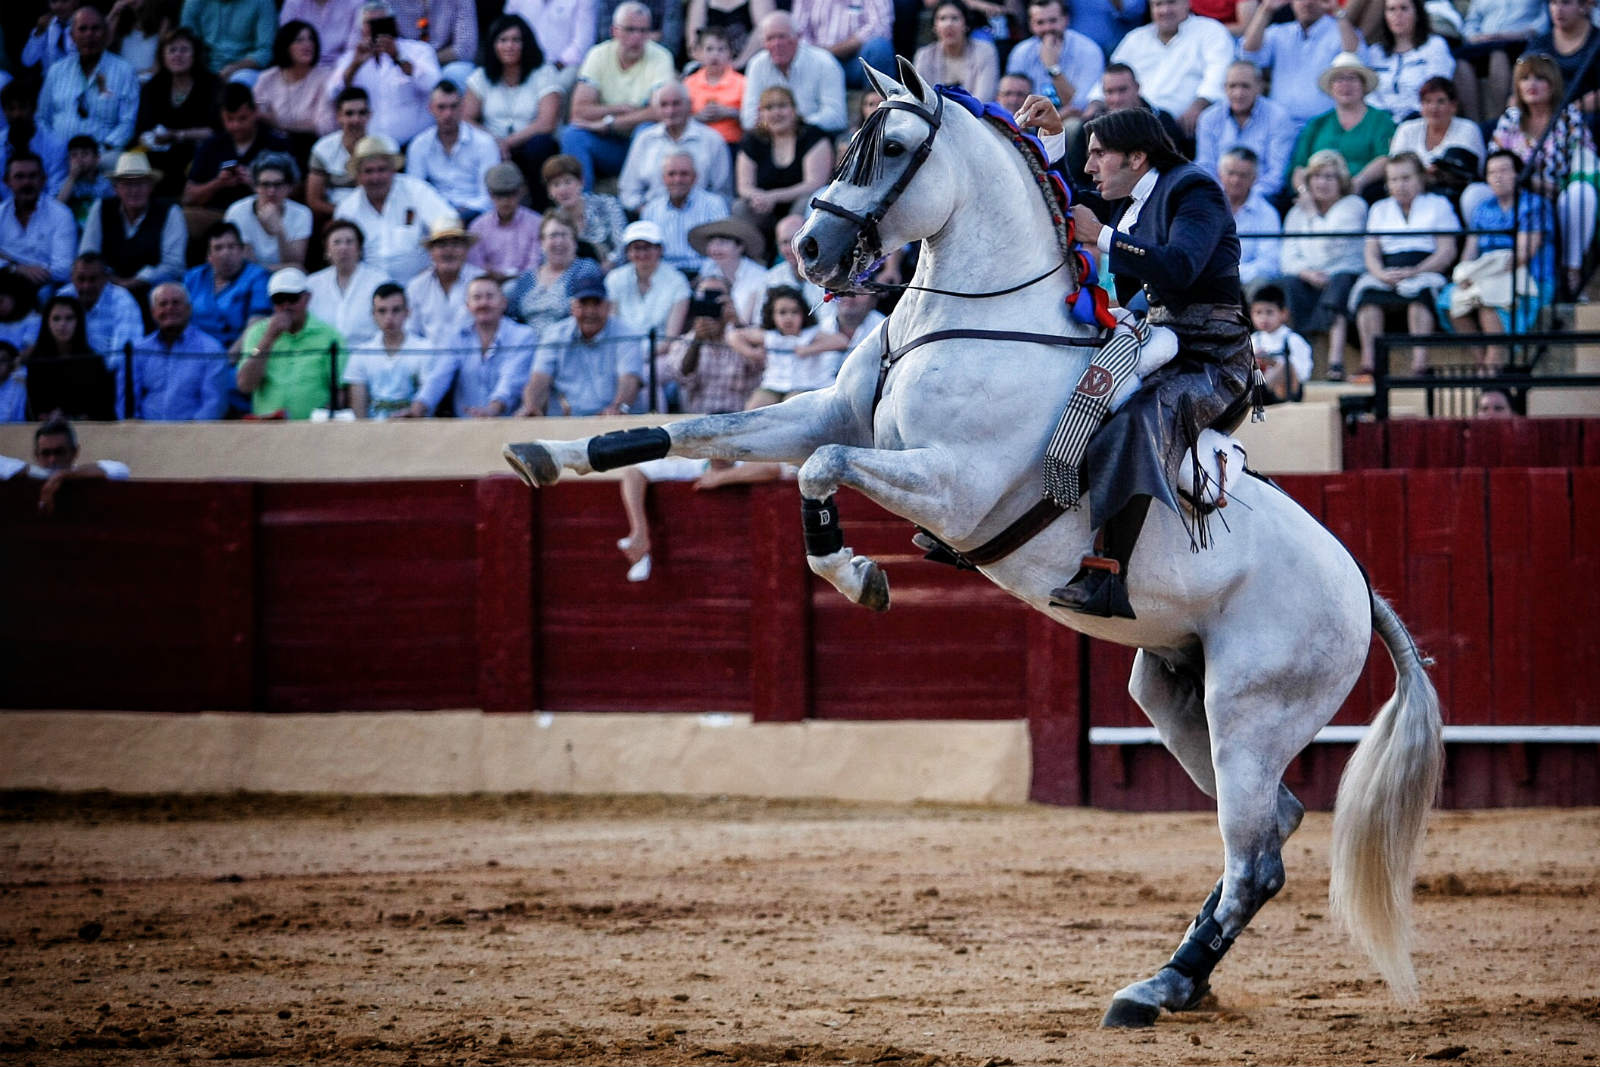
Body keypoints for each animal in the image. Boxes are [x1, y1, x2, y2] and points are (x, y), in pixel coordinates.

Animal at [502, 62, 1452, 1030]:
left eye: (889, 147)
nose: (808, 248)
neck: (968, 322)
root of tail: (1360, 587)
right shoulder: (828, 412)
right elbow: (703, 430)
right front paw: (548, 452)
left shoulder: (950, 482)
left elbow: (819, 470)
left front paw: (859, 573)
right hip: (1177, 692)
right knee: (1273, 826)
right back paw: (1178, 979)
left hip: (1252, 709)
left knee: (1253, 856)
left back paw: (1155, 987)